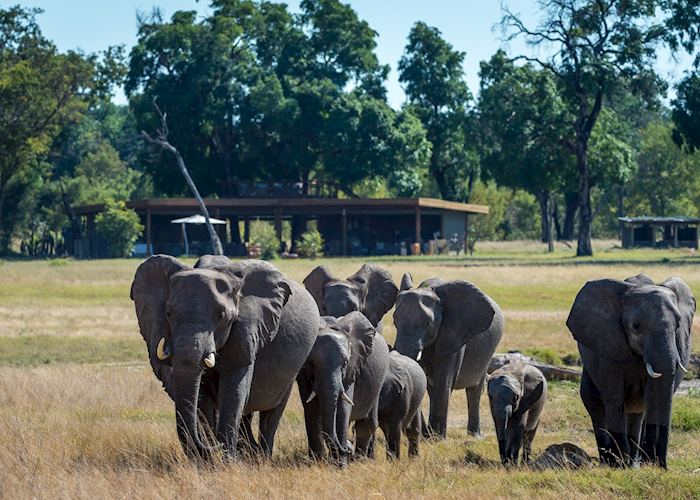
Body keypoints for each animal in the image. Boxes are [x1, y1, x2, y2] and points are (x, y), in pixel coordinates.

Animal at [130, 256, 318, 458]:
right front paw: (210, 459)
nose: (214, 446)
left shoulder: (247, 331)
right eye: (168, 313)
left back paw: (262, 456)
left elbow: (233, 391)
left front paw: (226, 458)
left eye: (221, 316)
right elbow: (203, 397)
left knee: (272, 413)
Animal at [296, 312, 392, 464]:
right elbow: (311, 409)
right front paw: (317, 463)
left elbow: (343, 409)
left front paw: (340, 465)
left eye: (345, 363)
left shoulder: (352, 369)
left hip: (379, 380)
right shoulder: (303, 374)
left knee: (367, 424)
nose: (347, 449)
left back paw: (360, 460)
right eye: (311, 363)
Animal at [394, 272, 504, 440]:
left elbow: (444, 380)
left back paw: (475, 436)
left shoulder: (454, 333)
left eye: (428, 323)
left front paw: (437, 439)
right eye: (395, 321)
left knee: (475, 390)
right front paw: (428, 437)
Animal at [568, 274, 696, 468]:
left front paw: (647, 464)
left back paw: (633, 462)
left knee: (638, 412)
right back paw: (610, 461)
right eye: (636, 327)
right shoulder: (608, 346)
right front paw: (618, 465)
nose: (662, 465)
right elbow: (614, 397)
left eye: (678, 325)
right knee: (594, 402)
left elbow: (651, 396)